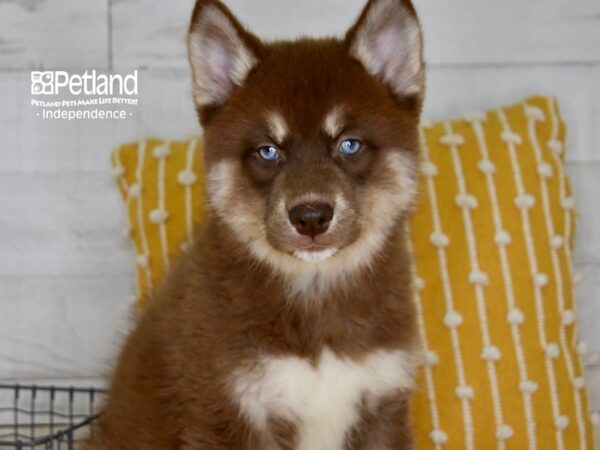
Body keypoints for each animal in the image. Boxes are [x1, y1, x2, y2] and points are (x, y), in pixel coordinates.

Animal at [86, 0, 424, 448]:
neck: (316, 303)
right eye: (268, 151)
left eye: (349, 144)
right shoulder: (227, 409)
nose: (311, 216)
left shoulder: (383, 401)